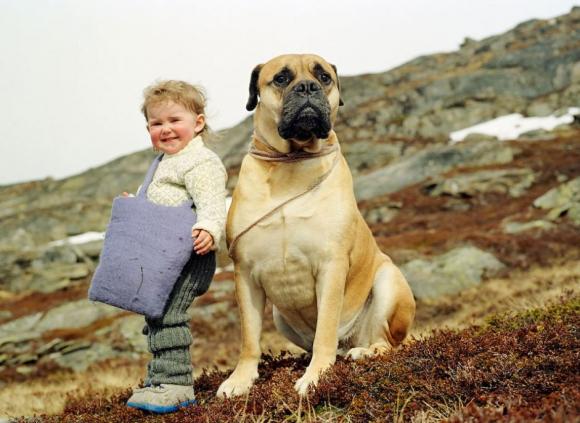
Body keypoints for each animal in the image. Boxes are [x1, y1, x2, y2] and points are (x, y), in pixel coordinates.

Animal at [216, 53, 412, 398]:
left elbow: (325, 330)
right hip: (280, 316)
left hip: (389, 281)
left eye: (323, 77)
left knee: (387, 341)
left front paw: (317, 375)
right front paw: (240, 379)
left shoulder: (331, 265)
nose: (307, 87)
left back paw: (365, 351)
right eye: (281, 78)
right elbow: (249, 338)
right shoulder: (245, 274)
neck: (291, 165)